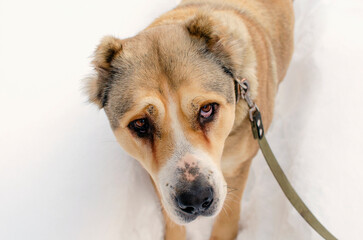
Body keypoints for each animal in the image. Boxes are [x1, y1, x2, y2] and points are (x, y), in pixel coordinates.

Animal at [86, 0, 296, 239]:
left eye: (206, 109)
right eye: (140, 123)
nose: (195, 199)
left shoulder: (238, 167)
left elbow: (227, 217)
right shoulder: (154, 173)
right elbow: (171, 219)